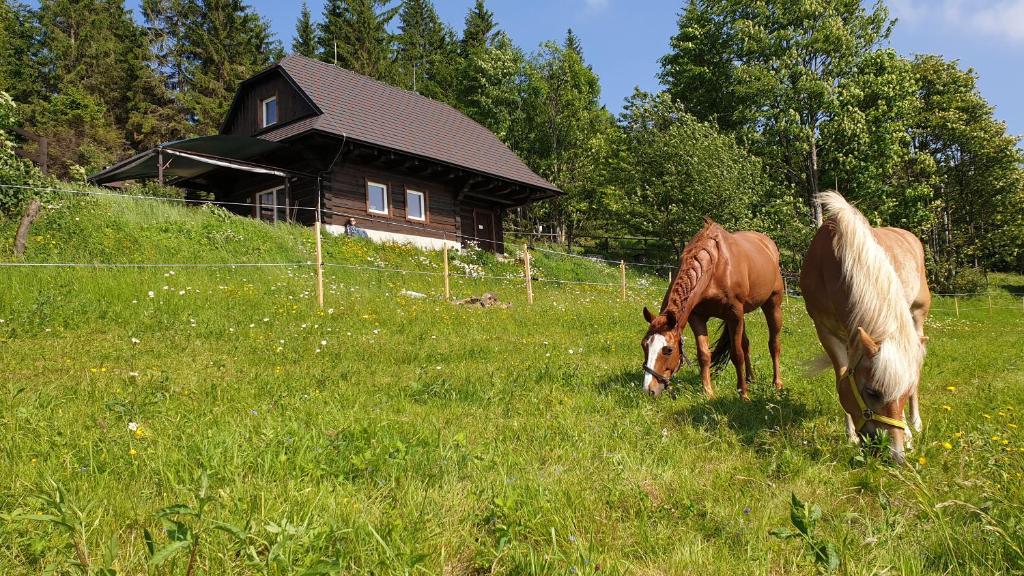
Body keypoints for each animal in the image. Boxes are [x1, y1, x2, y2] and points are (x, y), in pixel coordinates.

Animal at [638, 219, 782, 399]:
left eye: (668, 350)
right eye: (644, 345)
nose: (649, 389)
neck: (715, 267)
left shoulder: (734, 315)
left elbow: (737, 355)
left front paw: (743, 395)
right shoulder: (697, 317)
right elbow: (704, 355)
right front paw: (708, 392)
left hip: (773, 304)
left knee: (774, 344)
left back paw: (777, 384)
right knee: (746, 344)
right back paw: (750, 378)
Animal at [802, 190, 933, 459]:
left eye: (903, 394)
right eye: (872, 392)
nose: (895, 455)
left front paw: (908, 434)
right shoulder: (828, 331)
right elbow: (842, 376)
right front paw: (851, 435)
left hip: (917, 318)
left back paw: (915, 423)